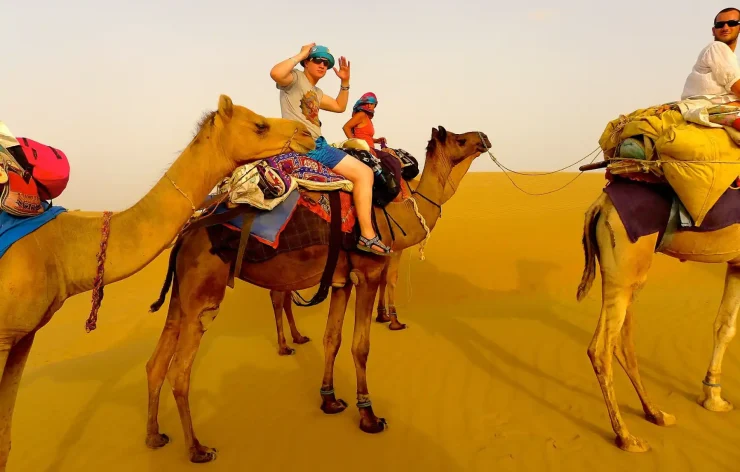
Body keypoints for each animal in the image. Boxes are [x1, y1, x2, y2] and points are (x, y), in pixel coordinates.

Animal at [0, 95, 314, 471]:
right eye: (259, 125)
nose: (307, 135)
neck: (60, 248)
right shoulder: (3, 337)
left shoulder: (22, 337)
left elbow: (5, 438)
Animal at [144, 126, 490, 463]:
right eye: (460, 140)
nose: (484, 138)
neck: (398, 209)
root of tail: (185, 234)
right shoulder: (369, 272)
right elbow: (361, 346)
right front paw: (369, 416)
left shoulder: (341, 281)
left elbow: (331, 339)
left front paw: (330, 400)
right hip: (204, 296)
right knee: (180, 371)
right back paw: (198, 449)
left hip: (182, 296)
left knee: (157, 362)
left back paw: (155, 436)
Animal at [577, 186, 740, 453]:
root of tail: (600, 205)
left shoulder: (737, 264)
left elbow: (724, 327)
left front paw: (713, 399)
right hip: (625, 265)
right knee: (601, 350)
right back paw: (627, 437)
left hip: (626, 276)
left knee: (622, 344)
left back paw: (656, 414)